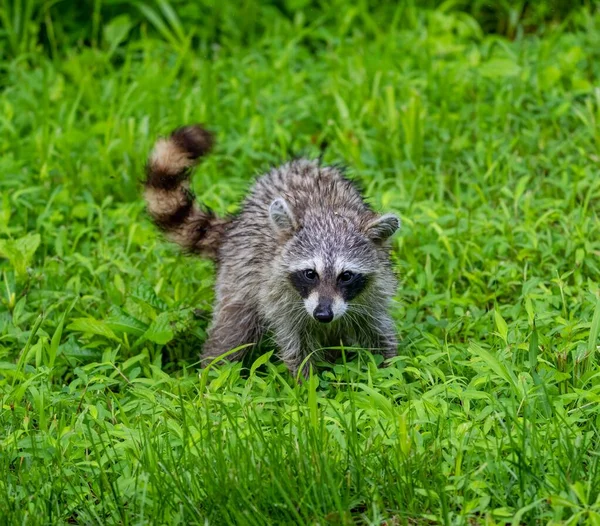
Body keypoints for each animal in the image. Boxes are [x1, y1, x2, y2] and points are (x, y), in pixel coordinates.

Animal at [143, 126, 400, 378]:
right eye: (310, 273)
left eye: (346, 275)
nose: (323, 315)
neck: (327, 215)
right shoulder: (277, 292)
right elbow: (296, 344)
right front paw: (305, 383)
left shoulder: (373, 294)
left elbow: (379, 333)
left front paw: (390, 373)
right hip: (240, 267)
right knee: (235, 324)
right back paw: (214, 370)